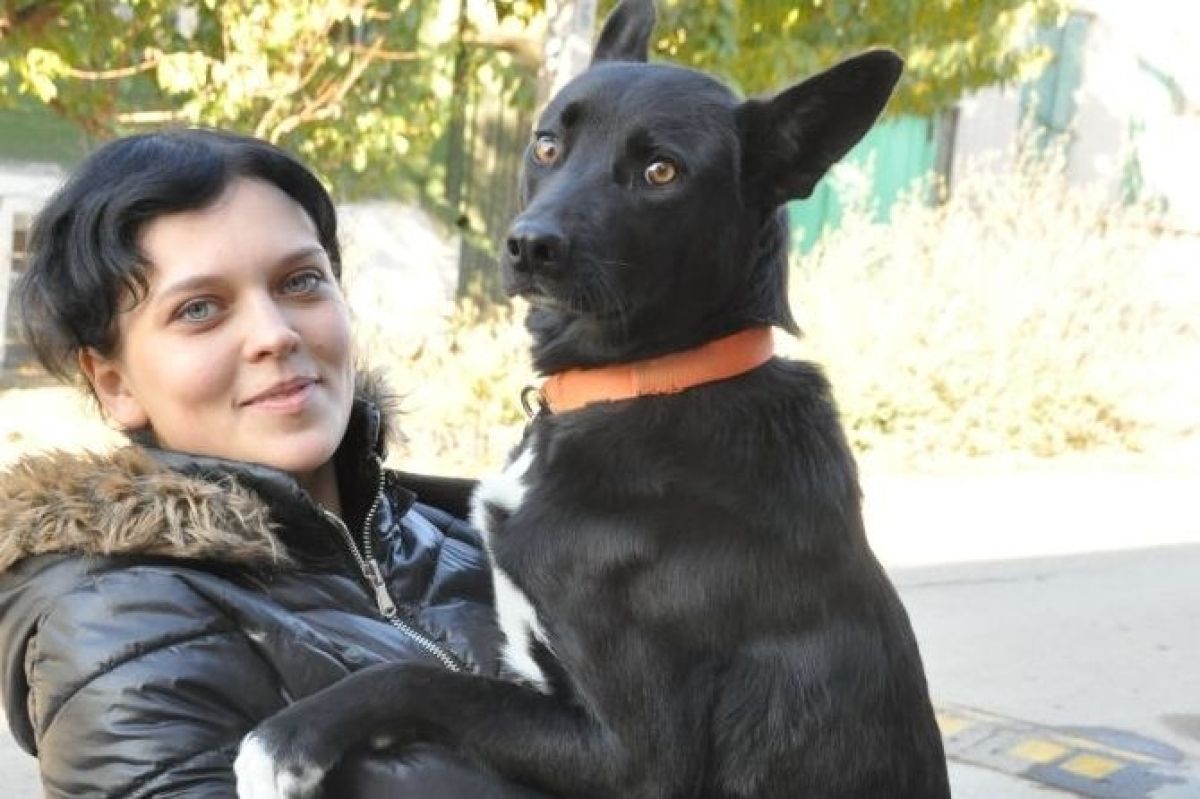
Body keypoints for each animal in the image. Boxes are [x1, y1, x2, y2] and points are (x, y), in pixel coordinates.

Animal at [235, 1, 950, 796]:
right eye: (548, 145)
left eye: (661, 171)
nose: (529, 247)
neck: (653, 377)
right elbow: (431, 490)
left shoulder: (631, 759)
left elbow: (433, 680)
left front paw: (290, 737)